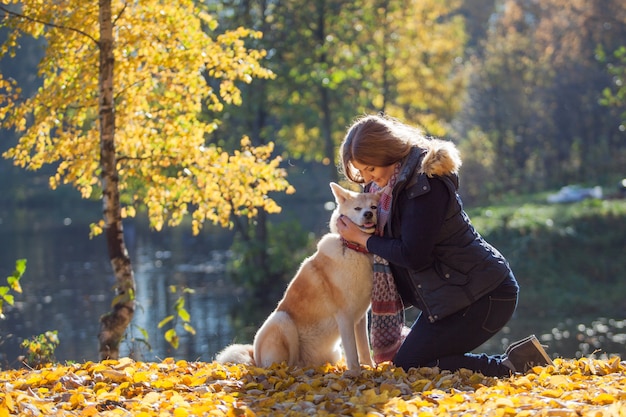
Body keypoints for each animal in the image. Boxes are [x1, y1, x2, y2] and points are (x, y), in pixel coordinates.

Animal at [214, 182, 380, 374]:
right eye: (358, 208)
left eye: (373, 207)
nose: (368, 214)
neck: (354, 249)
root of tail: (254, 357)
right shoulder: (345, 316)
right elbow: (352, 352)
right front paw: (355, 373)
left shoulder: (359, 318)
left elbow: (364, 348)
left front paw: (370, 368)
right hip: (282, 320)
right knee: (287, 363)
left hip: (331, 353)